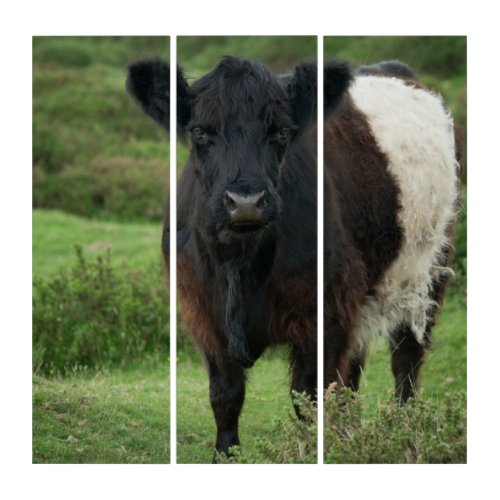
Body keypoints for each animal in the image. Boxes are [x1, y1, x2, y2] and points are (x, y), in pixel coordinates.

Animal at [127, 56, 462, 458]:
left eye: (282, 131)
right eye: (200, 131)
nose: (245, 202)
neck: (242, 264)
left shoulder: (327, 311)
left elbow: (310, 398)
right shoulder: (202, 310)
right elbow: (225, 395)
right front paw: (226, 455)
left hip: (429, 272)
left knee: (407, 359)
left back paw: (403, 430)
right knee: (355, 369)